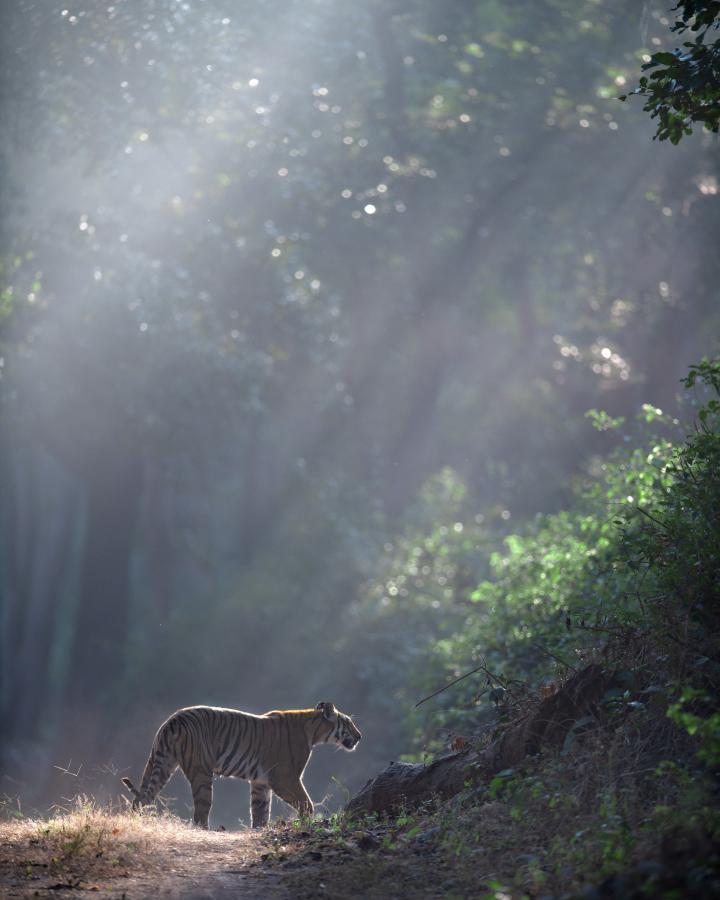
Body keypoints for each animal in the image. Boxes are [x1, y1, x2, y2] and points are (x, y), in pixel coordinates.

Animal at [121, 704, 362, 828]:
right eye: (349, 722)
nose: (360, 737)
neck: (313, 730)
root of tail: (173, 719)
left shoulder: (261, 782)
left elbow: (260, 810)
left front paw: (260, 830)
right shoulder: (285, 778)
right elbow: (306, 803)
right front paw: (305, 822)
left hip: (159, 763)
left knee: (141, 797)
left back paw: (135, 821)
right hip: (201, 773)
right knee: (201, 811)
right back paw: (207, 831)